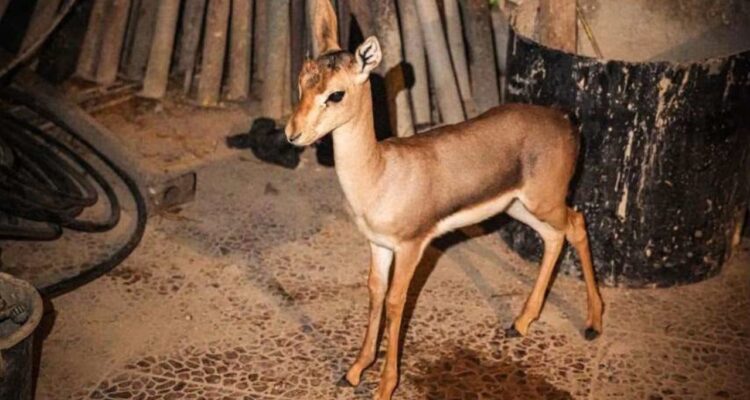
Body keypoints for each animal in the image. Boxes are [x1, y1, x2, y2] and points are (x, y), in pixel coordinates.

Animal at [285, 1, 604, 398]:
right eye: (302, 82)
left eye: (336, 94)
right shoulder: (379, 245)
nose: (292, 134)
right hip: (519, 206)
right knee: (554, 237)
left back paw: (592, 324)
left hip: (545, 202)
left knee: (577, 224)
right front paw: (355, 369)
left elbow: (396, 301)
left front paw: (385, 386)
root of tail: (566, 121)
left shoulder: (412, 246)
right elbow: (375, 291)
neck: (380, 174)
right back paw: (520, 322)